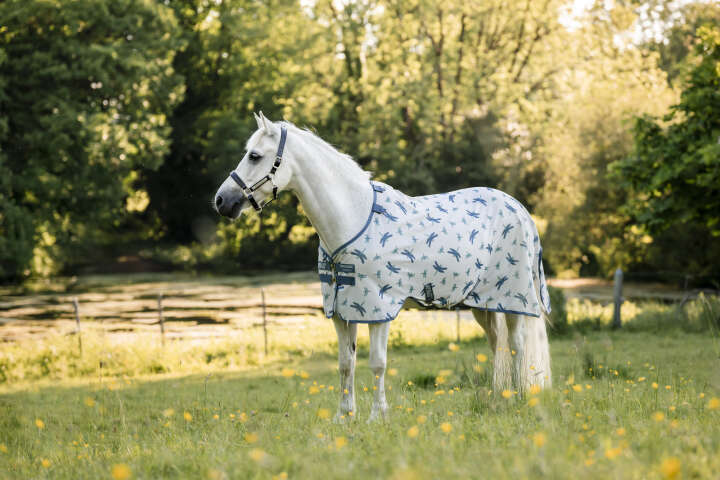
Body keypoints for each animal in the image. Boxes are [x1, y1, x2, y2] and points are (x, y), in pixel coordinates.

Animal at [214, 112, 552, 422]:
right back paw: (498, 399)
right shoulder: (341, 311)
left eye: (255, 156)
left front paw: (377, 416)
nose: (221, 201)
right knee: (497, 344)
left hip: (513, 298)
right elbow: (345, 363)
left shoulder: (379, 309)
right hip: (484, 303)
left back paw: (518, 399)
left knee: (517, 345)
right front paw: (344, 416)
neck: (353, 218)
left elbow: (377, 363)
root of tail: (519, 208)